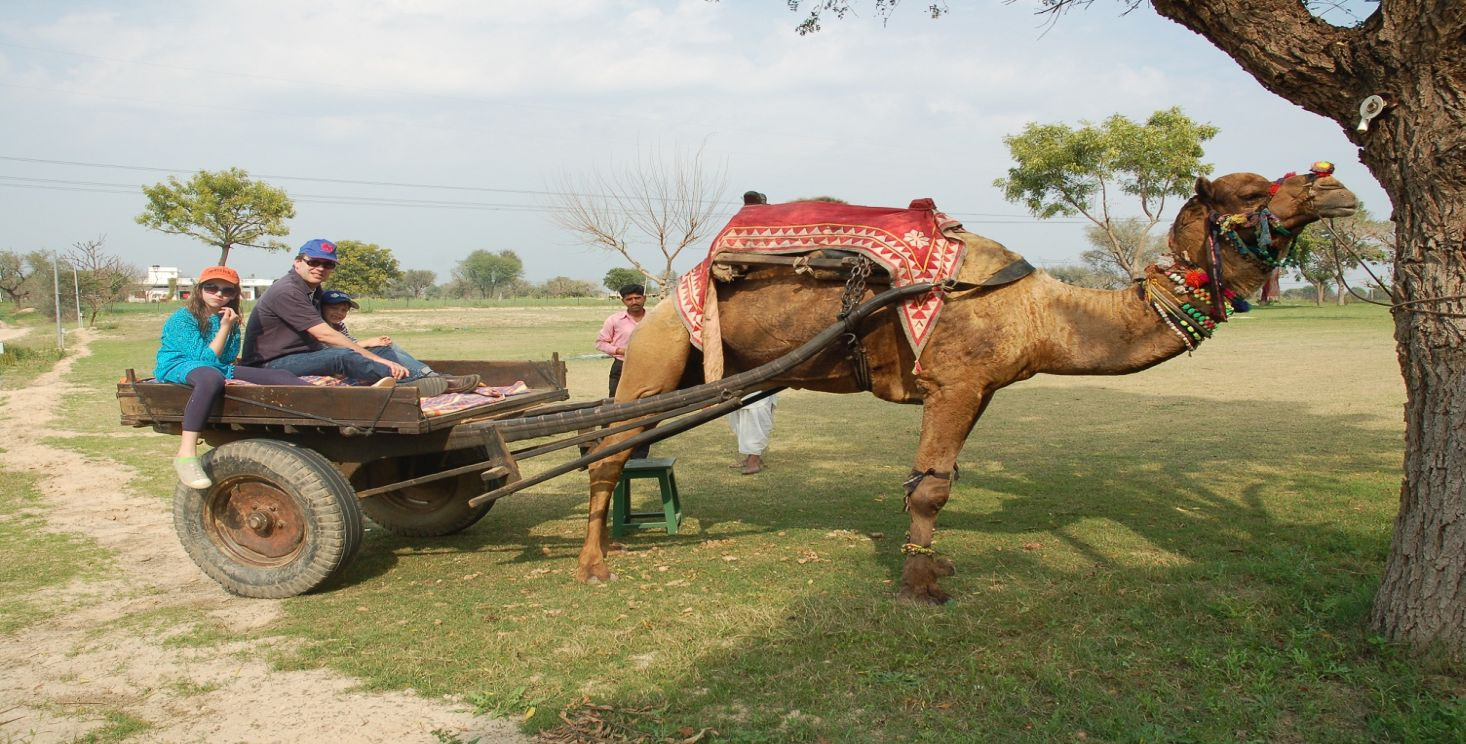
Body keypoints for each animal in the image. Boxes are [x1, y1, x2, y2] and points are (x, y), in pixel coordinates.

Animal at [577, 165, 1354, 600]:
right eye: (1251, 190)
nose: (1337, 187)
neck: (1036, 310)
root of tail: (673, 286)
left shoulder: (978, 390)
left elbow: (939, 476)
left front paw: (936, 567)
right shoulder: (952, 383)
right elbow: (930, 487)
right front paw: (920, 587)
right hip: (659, 351)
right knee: (607, 448)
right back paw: (593, 566)